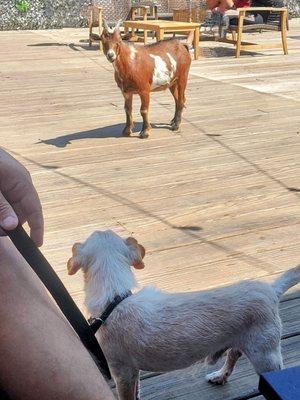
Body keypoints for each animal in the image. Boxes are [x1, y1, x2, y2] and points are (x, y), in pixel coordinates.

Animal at [67, 228, 300, 400]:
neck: (115, 297)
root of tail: (271, 289)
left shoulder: (121, 373)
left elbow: (127, 396)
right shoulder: (133, 371)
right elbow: (137, 391)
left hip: (265, 356)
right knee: (233, 354)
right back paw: (220, 376)